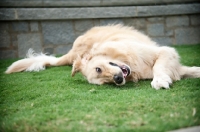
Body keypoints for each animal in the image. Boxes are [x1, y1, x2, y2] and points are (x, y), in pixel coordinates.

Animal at [5, 24, 200, 89]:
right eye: (106, 83)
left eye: (99, 68)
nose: (118, 79)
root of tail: (72, 54)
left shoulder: (164, 52)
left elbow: (161, 66)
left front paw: (159, 80)